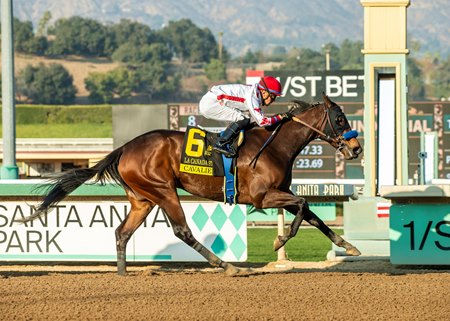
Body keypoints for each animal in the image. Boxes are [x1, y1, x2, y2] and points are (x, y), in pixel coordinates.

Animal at [22, 93, 364, 276]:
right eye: (339, 119)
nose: (356, 149)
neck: (275, 145)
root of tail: (125, 148)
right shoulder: (262, 197)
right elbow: (304, 206)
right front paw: (279, 241)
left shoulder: (282, 192)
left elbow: (313, 216)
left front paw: (348, 245)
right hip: (163, 190)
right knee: (182, 231)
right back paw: (228, 266)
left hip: (143, 199)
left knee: (122, 232)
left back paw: (122, 272)